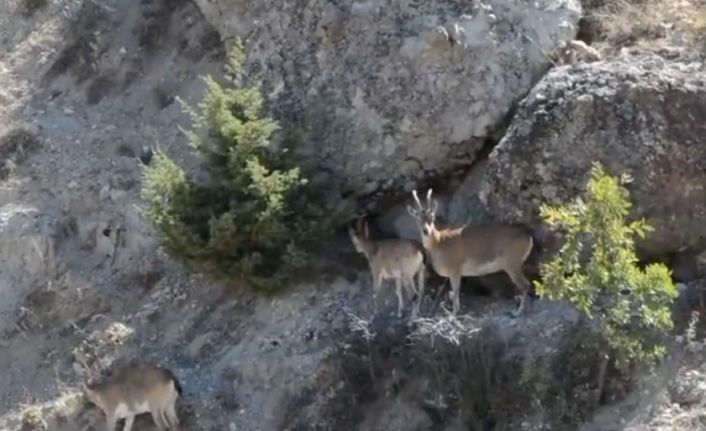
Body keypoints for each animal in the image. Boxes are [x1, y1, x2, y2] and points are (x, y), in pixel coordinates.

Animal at [404, 189, 532, 318]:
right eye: (417, 218)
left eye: (432, 216)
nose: (426, 231)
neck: (439, 242)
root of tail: (528, 236)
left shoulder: (455, 269)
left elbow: (456, 291)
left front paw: (453, 315)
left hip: (512, 264)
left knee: (525, 285)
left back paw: (517, 312)